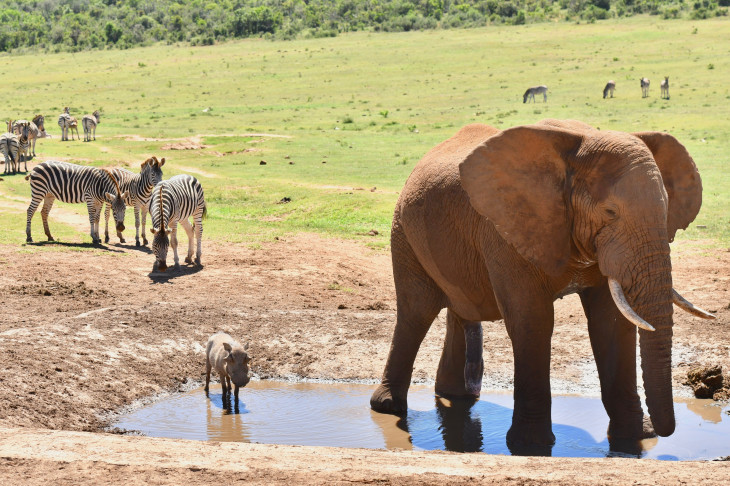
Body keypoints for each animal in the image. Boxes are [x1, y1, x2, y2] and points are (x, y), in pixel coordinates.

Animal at [370, 117, 712, 452]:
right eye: (610, 212)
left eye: (666, 209)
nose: (663, 432)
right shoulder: (507, 231)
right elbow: (532, 320)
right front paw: (530, 446)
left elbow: (611, 323)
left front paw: (633, 439)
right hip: (403, 230)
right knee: (416, 311)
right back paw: (387, 407)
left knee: (460, 310)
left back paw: (457, 396)